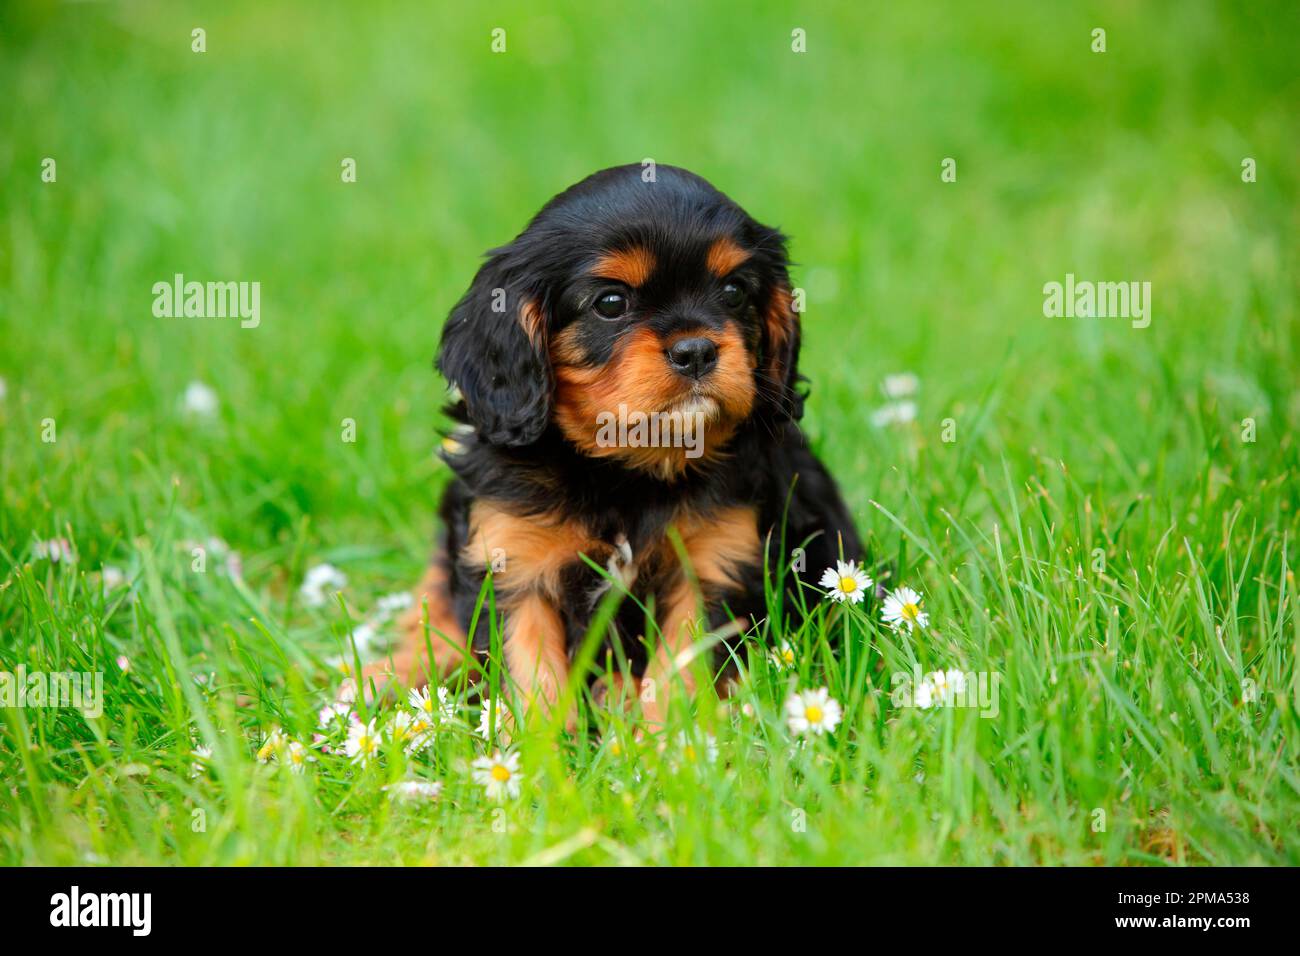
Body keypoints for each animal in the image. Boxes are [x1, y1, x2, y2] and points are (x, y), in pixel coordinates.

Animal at [374, 164, 863, 723]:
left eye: (735, 292)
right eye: (611, 303)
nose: (696, 350)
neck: (624, 470)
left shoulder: (715, 564)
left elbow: (681, 666)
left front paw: (667, 740)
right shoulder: (510, 562)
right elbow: (529, 670)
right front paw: (543, 743)